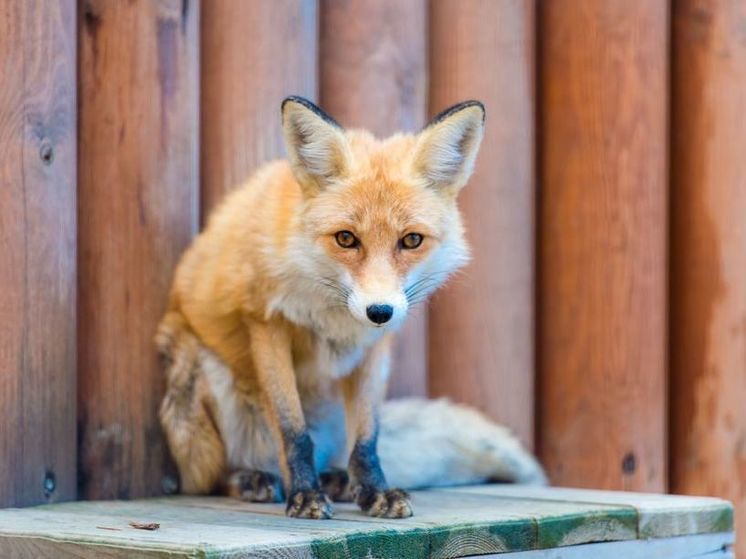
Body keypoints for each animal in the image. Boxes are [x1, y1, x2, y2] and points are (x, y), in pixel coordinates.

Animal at [157, 95, 544, 520]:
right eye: (346, 238)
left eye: (411, 240)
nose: (379, 311)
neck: (332, 314)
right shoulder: (265, 323)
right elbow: (293, 431)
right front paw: (305, 495)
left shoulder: (375, 347)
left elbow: (368, 438)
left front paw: (375, 491)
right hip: (200, 388)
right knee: (207, 479)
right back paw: (254, 480)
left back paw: (337, 480)